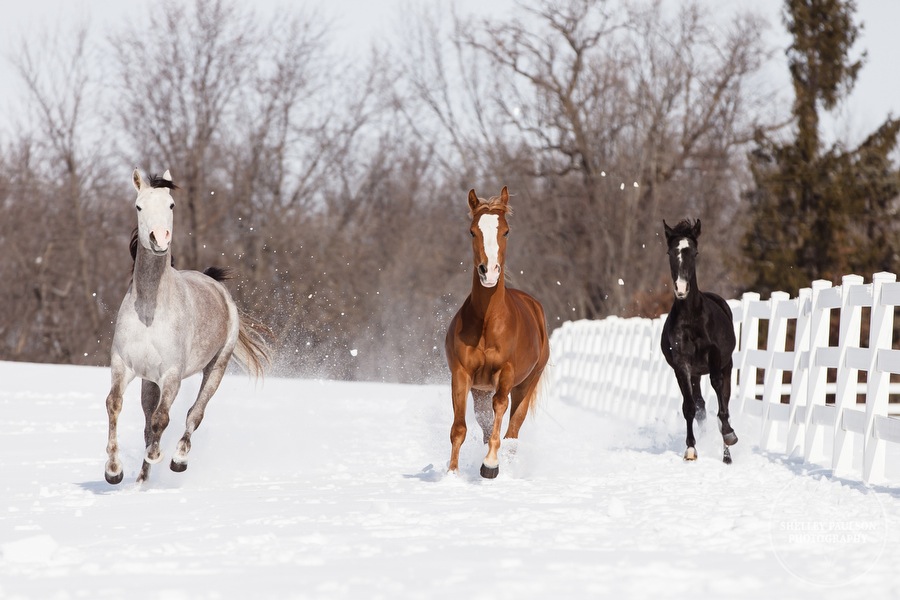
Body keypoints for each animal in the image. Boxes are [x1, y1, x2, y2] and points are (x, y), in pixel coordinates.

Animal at [104, 168, 268, 482]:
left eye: (171, 205)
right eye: (138, 206)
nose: (159, 238)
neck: (150, 311)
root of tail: (216, 286)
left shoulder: (172, 375)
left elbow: (163, 418)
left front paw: (156, 455)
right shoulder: (124, 366)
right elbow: (115, 405)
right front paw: (113, 471)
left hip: (216, 366)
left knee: (195, 412)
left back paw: (178, 459)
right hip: (149, 380)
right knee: (148, 420)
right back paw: (141, 479)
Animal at [442, 186, 548, 478]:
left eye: (506, 231)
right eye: (472, 231)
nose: (488, 272)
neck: (488, 323)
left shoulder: (506, 374)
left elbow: (500, 408)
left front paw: (490, 465)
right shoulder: (461, 375)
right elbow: (459, 428)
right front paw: (452, 474)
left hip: (527, 383)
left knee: (512, 430)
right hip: (480, 390)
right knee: (486, 424)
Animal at [660, 220, 740, 464]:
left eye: (694, 252)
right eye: (670, 252)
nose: (681, 289)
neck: (691, 319)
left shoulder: (715, 358)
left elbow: (721, 402)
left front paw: (729, 434)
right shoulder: (682, 366)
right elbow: (690, 407)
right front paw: (691, 449)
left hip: (727, 365)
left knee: (724, 400)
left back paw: (727, 453)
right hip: (696, 374)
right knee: (701, 405)